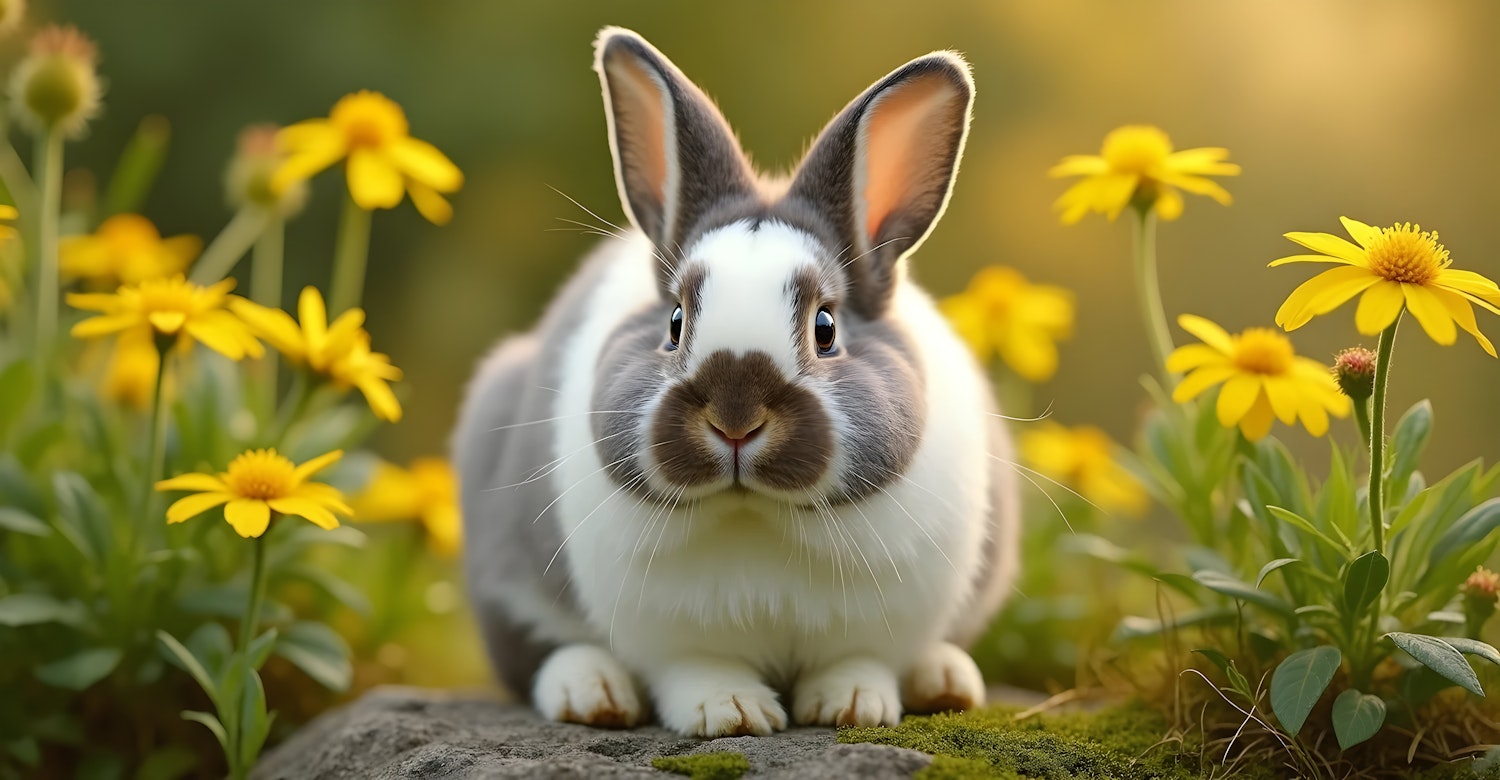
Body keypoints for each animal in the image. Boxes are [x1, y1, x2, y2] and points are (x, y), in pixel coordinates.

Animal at [456, 25, 1020, 738]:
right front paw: (731, 714)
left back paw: (945, 681)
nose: (734, 418)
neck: (757, 515)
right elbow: (699, 668)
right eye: (674, 323)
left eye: (826, 327)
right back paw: (591, 693)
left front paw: (852, 706)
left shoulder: (876, 628)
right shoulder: (676, 639)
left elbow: (857, 660)